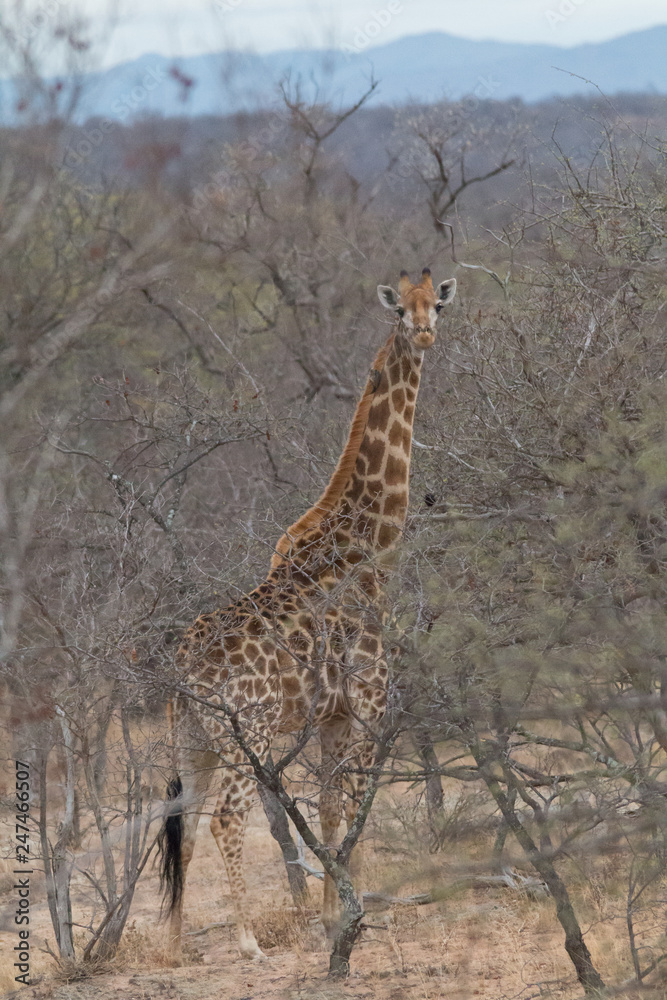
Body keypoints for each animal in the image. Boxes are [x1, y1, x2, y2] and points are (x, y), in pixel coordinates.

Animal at [157, 268, 457, 962]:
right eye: (399, 310)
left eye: (438, 303)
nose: (424, 332)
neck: (370, 550)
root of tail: (183, 666)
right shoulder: (369, 701)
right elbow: (355, 805)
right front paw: (351, 919)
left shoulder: (333, 714)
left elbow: (327, 809)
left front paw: (329, 917)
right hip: (247, 731)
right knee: (229, 817)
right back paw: (246, 941)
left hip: (193, 736)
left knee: (185, 823)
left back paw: (177, 946)